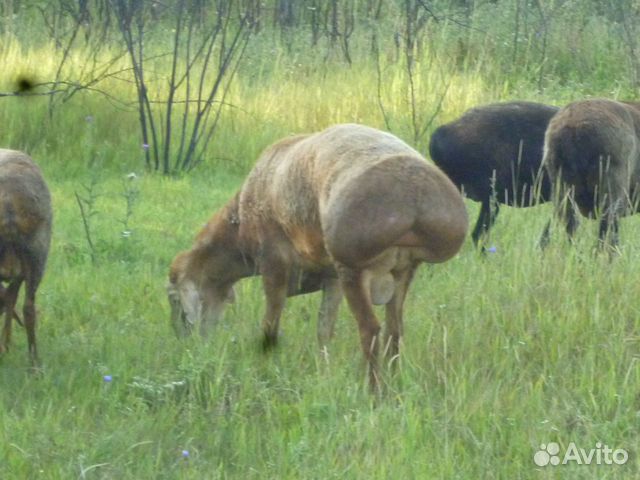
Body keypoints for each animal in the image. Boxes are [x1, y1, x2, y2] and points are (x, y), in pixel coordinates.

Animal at [168, 123, 468, 390]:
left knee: (370, 330)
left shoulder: (274, 265)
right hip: (402, 270)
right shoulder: (331, 279)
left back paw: (374, 392)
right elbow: (324, 330)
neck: (239, 222)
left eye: (174, 298)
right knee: (395, 330)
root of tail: (415, 196)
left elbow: (270, 327)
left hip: (353, 269)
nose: (185, 343)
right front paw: (324, 371)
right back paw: (394, 382)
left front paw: (266, 366)